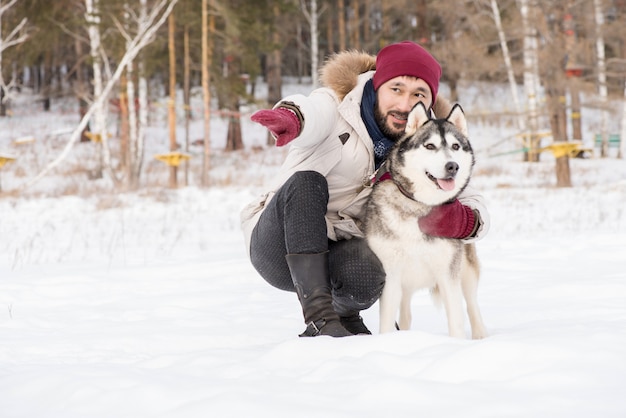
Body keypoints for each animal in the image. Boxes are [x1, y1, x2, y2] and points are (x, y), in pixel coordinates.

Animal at [366, 102, 488, 340]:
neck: (420, 206)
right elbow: (386, 323)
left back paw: (481, 336)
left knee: (472, 305)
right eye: (430, 146)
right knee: (405, 314)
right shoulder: (391, 275)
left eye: (456, 146)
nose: (452, 166)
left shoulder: (448, 274)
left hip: (466, 271)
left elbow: (456, 320)